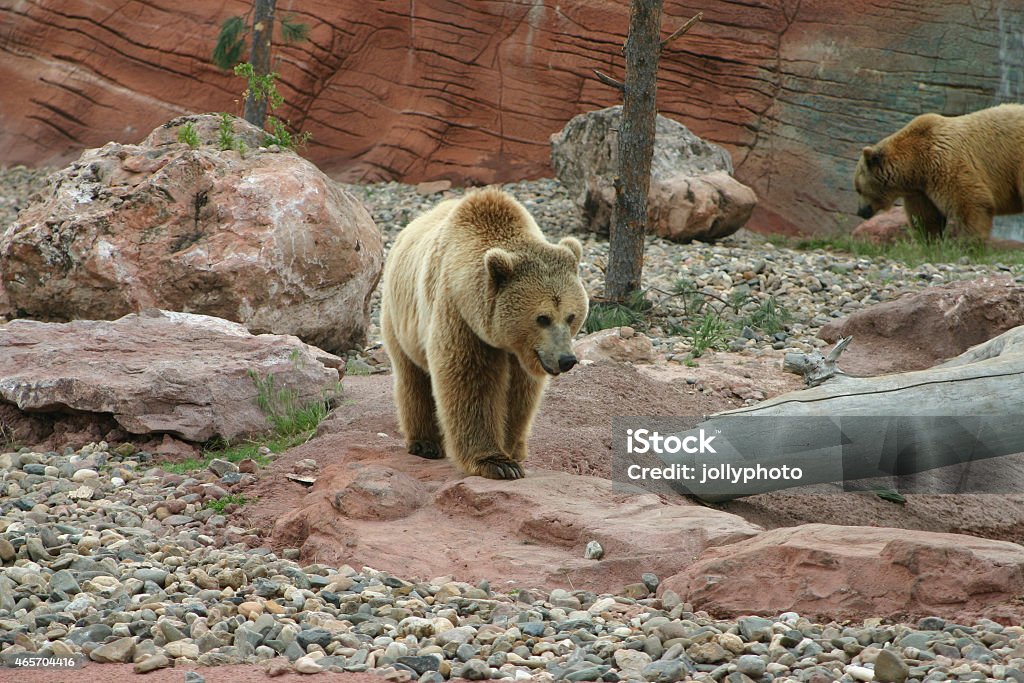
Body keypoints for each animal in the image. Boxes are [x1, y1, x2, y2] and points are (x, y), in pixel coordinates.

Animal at [380, 187, 589, 481]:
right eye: (542, 318)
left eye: (571, 316)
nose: (566, 359)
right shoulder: (459, 317)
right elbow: (470, 380)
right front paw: (497, 462)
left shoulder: (522, 353)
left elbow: (520, 394)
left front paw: (511, 449)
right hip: (400, 319)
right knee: (412, 376)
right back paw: (424, 443)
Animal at [851, 101, 1024, 240]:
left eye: (858, 189)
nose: (860, 211)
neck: (914, 165)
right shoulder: (920, 190)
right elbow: (926, 218)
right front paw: (928, 242)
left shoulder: (944, 163)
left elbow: (971, 203)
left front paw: (969, 243)